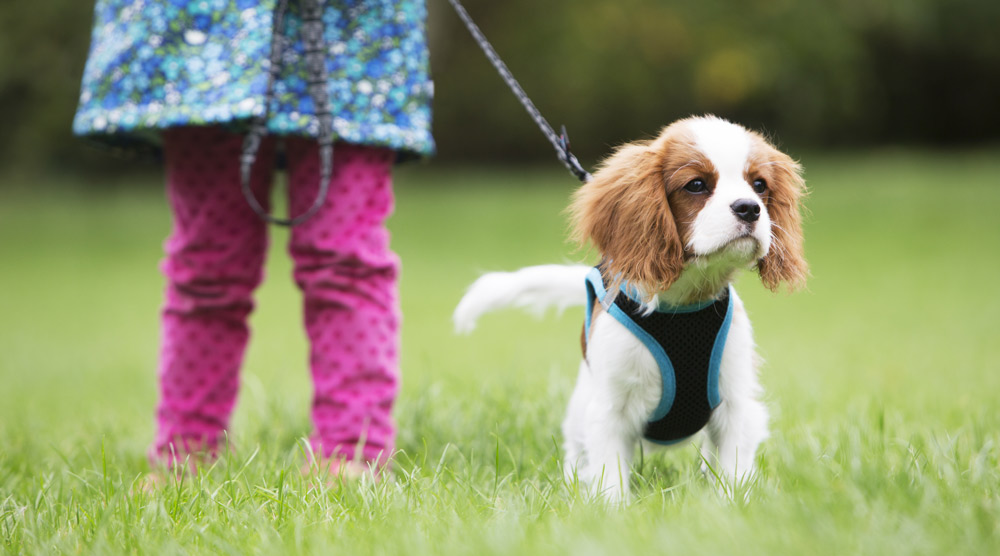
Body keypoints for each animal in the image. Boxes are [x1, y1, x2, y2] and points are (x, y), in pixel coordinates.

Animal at [458, 115, 808, 502]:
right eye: (696, 185)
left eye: (759, 185)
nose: (749, 207)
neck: (684, 304)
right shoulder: (609, 410)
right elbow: (610, 478)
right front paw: (612, 509)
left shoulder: (735, 405)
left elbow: (732, 472)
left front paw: (731, 506)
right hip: (580, 411)